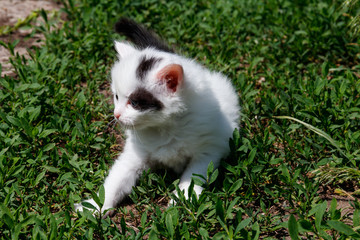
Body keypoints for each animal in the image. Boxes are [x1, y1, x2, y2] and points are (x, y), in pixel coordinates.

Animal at [73, 18, 240, 216]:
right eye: (116, 97)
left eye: (135, 102)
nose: (116, 114)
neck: (164, 127)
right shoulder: (136, 152)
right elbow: (116, 180)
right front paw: (94, 207)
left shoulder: (210, 145)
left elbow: (194, 175)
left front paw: (183, 199)